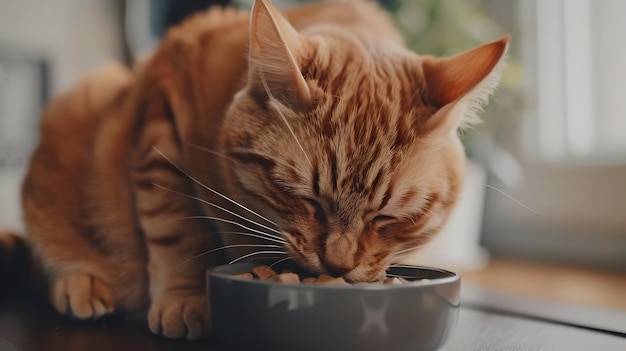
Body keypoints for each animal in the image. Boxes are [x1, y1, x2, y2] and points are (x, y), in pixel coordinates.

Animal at [8, 0, 508, 342]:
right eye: (306, 198)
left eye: (385, 218)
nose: (337, 266)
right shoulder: (162, 108)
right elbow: (177, 229)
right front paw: (186, 299)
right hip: (83, 103)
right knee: (42, 253)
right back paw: (79, 281)